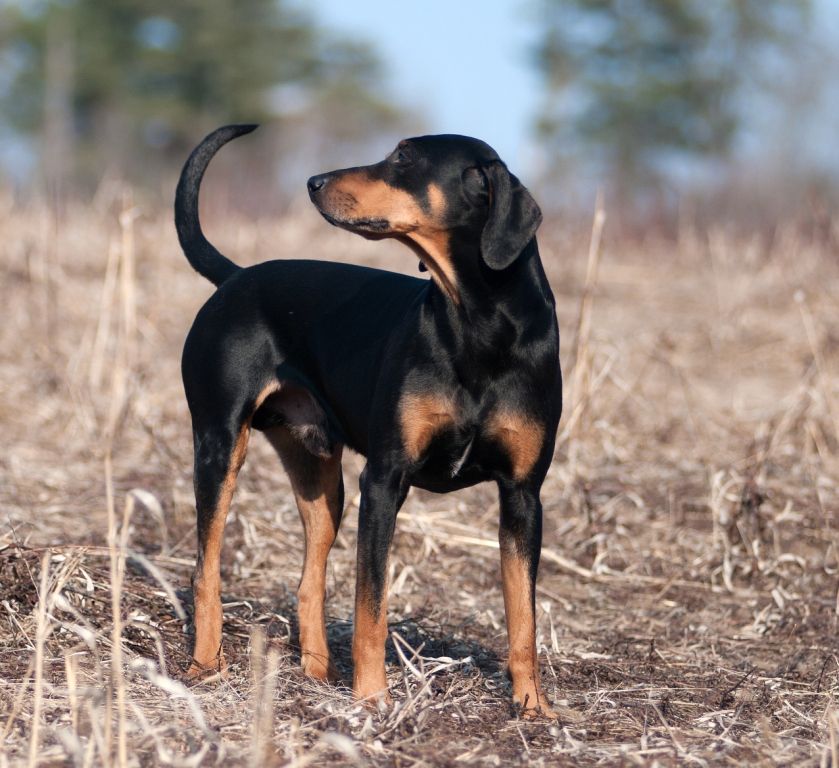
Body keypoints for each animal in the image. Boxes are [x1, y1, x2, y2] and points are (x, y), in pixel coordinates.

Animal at [174, 123, 560, 716]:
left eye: (403, 159)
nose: (313, 181)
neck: (479, 323)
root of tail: (236, 278)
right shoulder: (384, 481)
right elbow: (370, 608)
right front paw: (374, 697)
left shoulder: (523, 495)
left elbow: (524, 616)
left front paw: (533, 707)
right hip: (219, 448)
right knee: (205, 568)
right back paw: (205, 665)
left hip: (319, 477)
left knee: (308, 581)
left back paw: (316, 673)